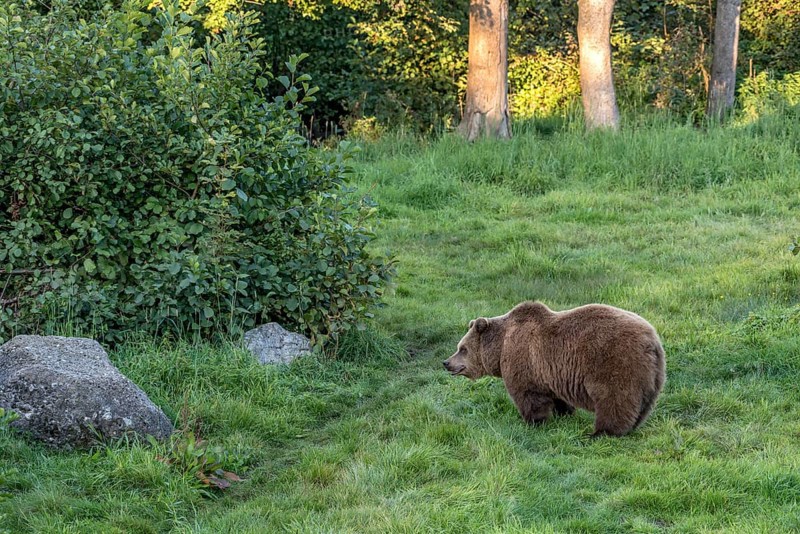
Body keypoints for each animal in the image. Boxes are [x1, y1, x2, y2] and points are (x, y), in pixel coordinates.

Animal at [443, 301, 666, 436]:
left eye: (462, 348)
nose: (446, 363)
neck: (501, 347)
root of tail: (651, 340)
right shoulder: (552, 372)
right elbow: (558, 397)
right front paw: (564, 413)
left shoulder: (525, 360)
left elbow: (528, 395)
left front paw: (533, 422)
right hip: (653, 374)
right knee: (643, 403)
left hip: (614, 362)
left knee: (614, 399)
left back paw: (600, 433)